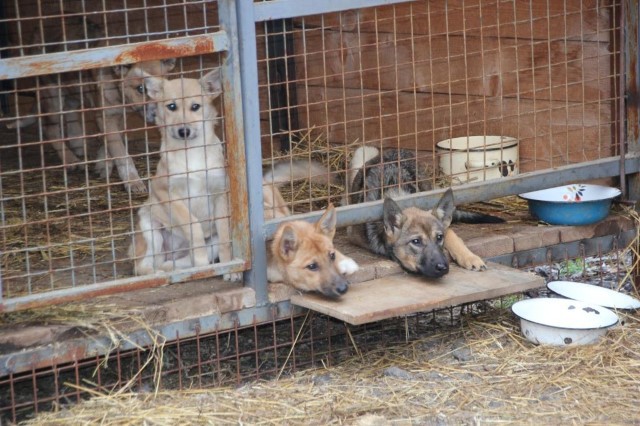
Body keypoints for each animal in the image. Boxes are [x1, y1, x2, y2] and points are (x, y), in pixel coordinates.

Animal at [348, 146, 502, 280]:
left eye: (439, 238)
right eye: (416, 242)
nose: (443, 267)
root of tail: (395, 150)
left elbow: (452, 235)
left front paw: (470, 257)